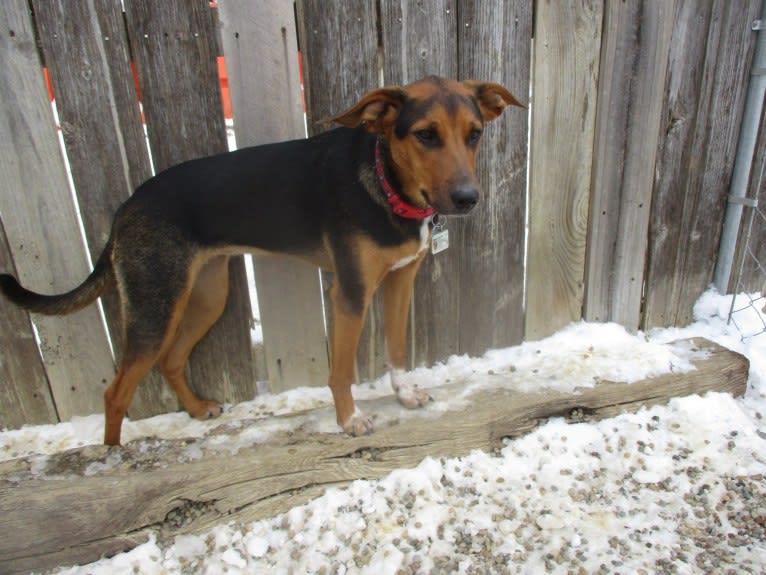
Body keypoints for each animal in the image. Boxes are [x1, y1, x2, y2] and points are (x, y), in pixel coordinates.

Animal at [0, 76, 524, 446]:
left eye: (474, 134)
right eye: (425, 135)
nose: (468, 199)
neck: (386, 184)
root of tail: (125, 208)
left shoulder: (400, 281)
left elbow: (396, 348)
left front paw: (404, 393)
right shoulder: (350, 293)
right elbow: (341, 370)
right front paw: (349, 419)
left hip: (207, 294)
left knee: (171, 359)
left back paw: (197, 410)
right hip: (155, 303)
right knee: (116, 393)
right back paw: (115, 458)